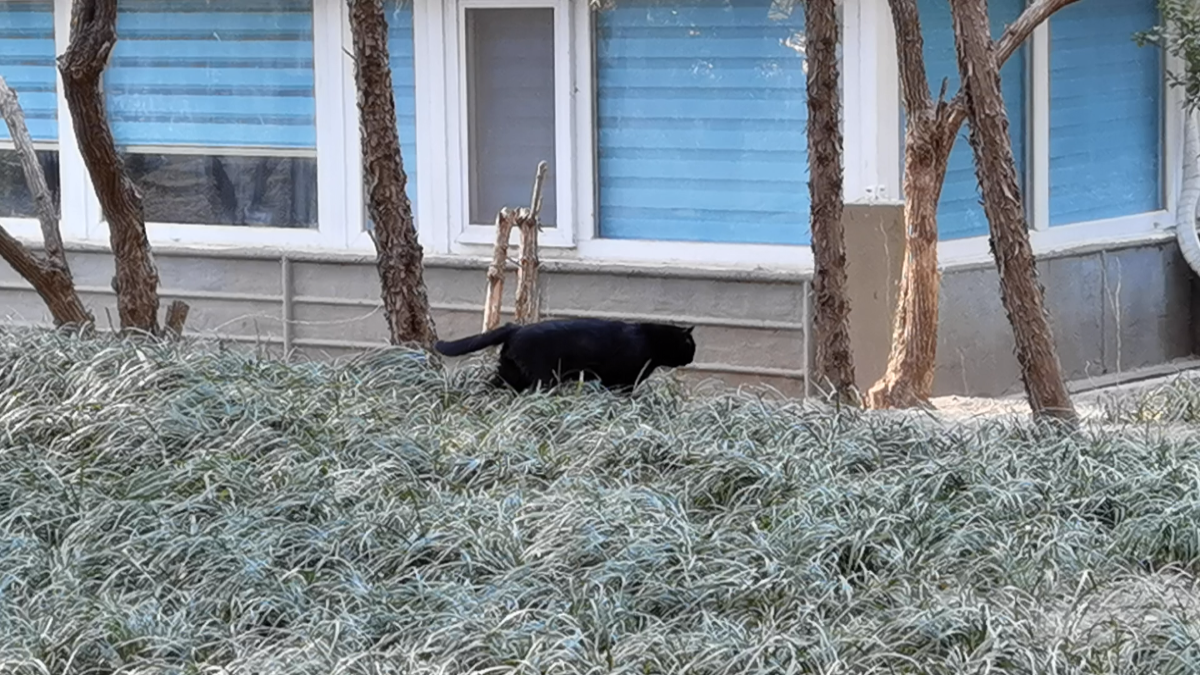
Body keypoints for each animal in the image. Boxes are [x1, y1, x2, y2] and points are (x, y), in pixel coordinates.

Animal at [434, 317, 700, 391]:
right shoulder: (622, 382)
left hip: (510, 372)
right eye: (691, 346)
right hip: (544, 377)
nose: (693, 358)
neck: (650, 341)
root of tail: (515, 327)